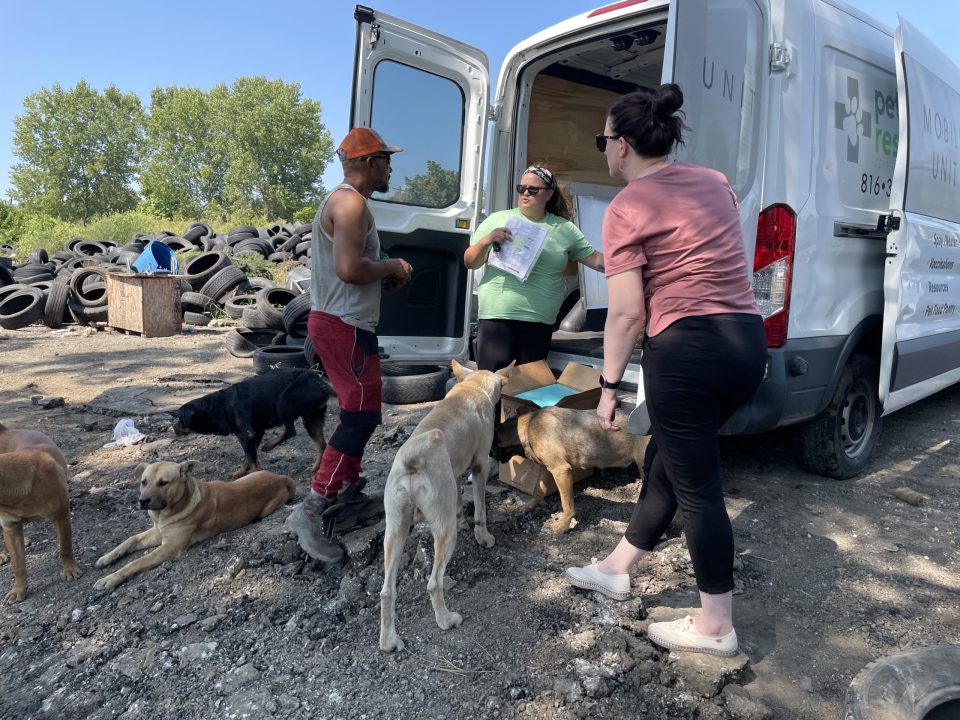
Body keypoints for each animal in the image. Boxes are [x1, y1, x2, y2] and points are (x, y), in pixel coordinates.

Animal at [0, 422, 81, 600]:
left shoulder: (62, 516)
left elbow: (65, 547)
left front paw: (69, 569)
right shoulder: (10, 528)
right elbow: (18, 564)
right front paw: (18, 589)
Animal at [96, 462, 296, 592]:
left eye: (163, 482)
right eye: (143, 482)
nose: (142, 501)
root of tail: (281, 477)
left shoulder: (170, 547)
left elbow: (138, 561)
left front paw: (110, 578)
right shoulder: (158, 532)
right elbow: (131, 539)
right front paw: (107, 557)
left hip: (266, 509)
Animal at [376, 360, 512, 652]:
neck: (472, 386)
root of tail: (412, 459)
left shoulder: (457, 473)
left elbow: (460, 502)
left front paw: (464, 519)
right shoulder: (480, 466)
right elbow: (480, 510)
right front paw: (483, 536)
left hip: (395, 531)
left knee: (387, 591)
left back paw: (389, 640)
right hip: (444, 533)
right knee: (433, 583)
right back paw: (446, 620)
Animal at [496, 408, 652, 532]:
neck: (529, 427)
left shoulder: (561, 470)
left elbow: (567, 504)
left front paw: (563, 526)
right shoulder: (547, 468)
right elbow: (538, 490)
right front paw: (529, 506)